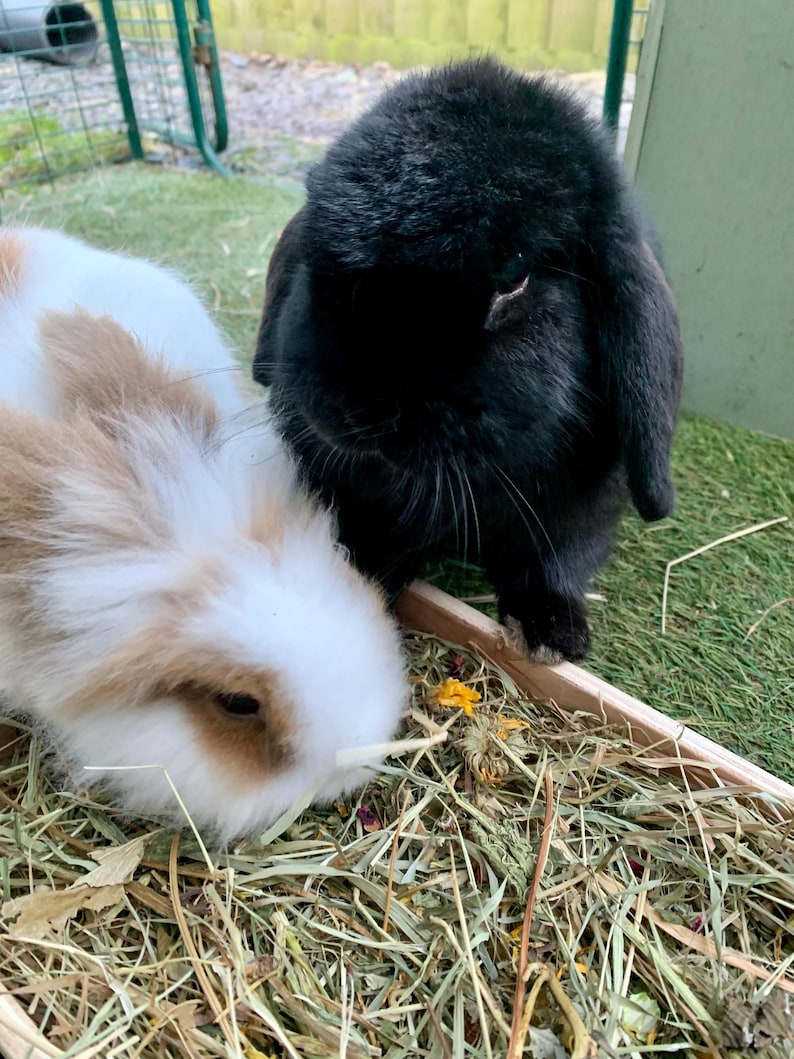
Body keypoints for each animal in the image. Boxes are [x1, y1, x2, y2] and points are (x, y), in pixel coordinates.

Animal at [252, 57, 684, 663]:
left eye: (514, 279)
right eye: (320, 251)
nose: (361, 410)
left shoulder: (581, 509)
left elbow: (557, 559)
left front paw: (552, 633)